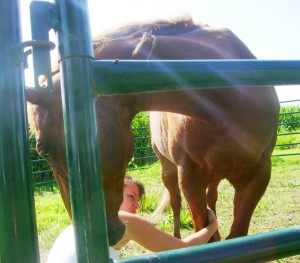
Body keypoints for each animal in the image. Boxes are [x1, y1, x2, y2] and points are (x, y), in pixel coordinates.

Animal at [25, 16, 278, 246]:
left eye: (44, 150)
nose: (105, 237)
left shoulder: (260, 173)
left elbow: (236, 234)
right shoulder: (189, 176)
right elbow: (206, 233)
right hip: (169, 170)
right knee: (176, 202)